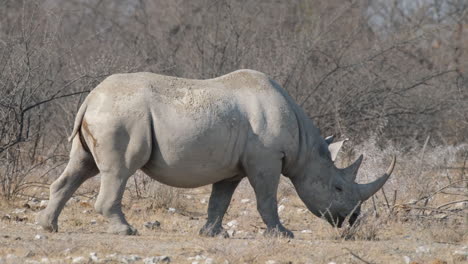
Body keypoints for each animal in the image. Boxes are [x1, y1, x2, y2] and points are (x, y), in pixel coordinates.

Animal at [37, 68, 394, 237]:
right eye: (338, 188)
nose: (353, 220)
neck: (307, 150)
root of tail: (91, 96)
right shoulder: (266, 159)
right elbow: (267, 198)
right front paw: (284, 234)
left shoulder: (233, 166)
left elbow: (219, 200)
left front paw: (212, 233)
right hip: (121, 116)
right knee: (118, 171)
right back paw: (126, 230)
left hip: (106, 113)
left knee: (81, 166)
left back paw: (48, 227)